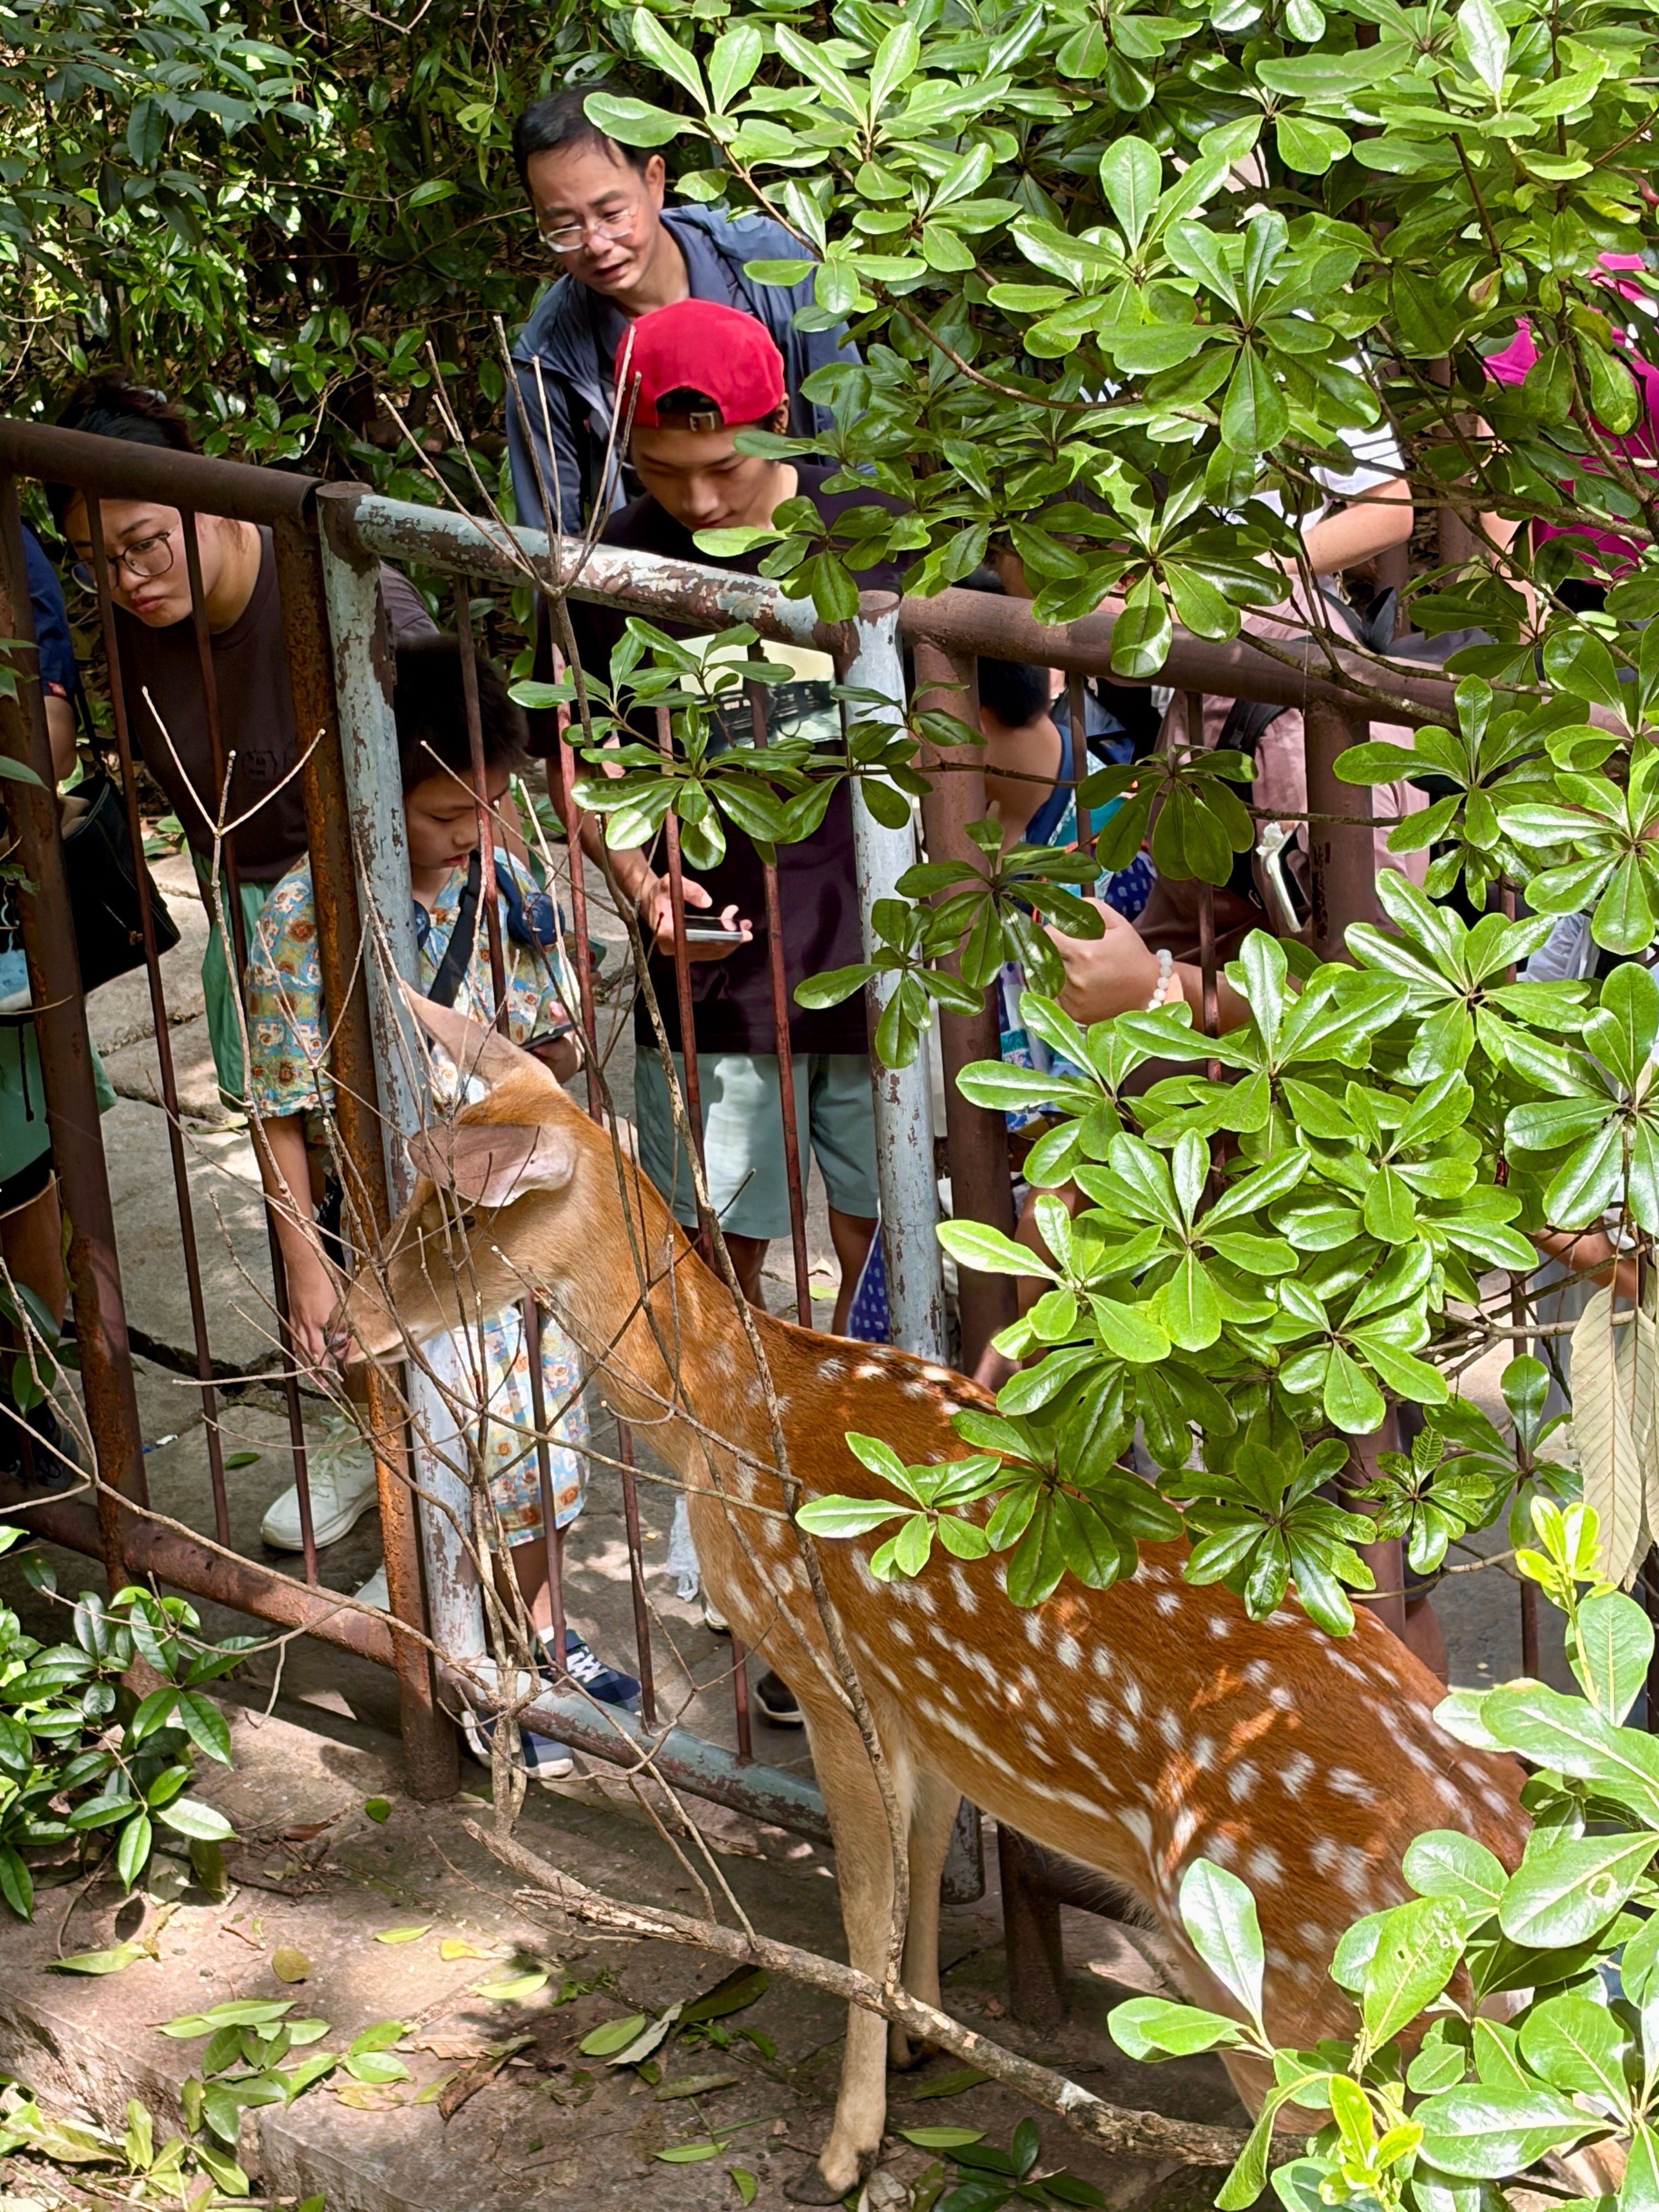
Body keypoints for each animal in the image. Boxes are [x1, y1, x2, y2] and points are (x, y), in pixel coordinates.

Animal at [337, 994, 1529, 2203]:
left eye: (454, 1219)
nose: (337, 1331)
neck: (729, 1409)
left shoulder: (828, 1671)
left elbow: (861, 1900)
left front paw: (846, 2143)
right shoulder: (928, 1709)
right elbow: (921, 1863)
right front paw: (919, 2038)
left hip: (1284, 1987)